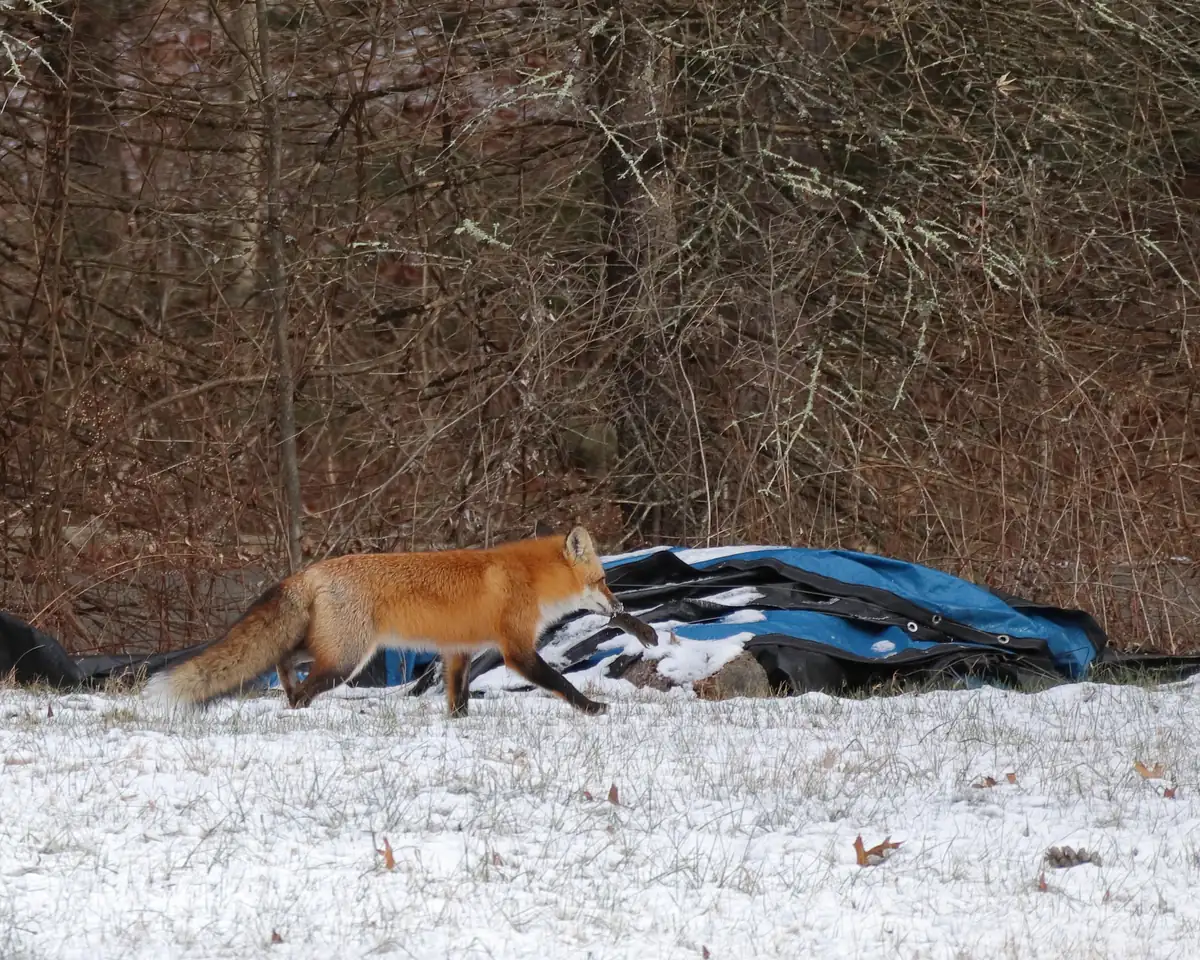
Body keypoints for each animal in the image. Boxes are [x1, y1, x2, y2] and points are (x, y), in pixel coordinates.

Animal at [144, 526, 623, 717]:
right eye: (603, 580)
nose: (619, 608)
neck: (529, 579)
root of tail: (310, 571)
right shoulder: (517, 650)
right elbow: (560, 683)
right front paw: (594, 708)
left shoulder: (458, 651)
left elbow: (458, 698)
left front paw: (459, 726)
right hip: (347, 659)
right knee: (301, 683)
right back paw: (297, 708)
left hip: (335, 649)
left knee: (284, 657)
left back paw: (288, 688)